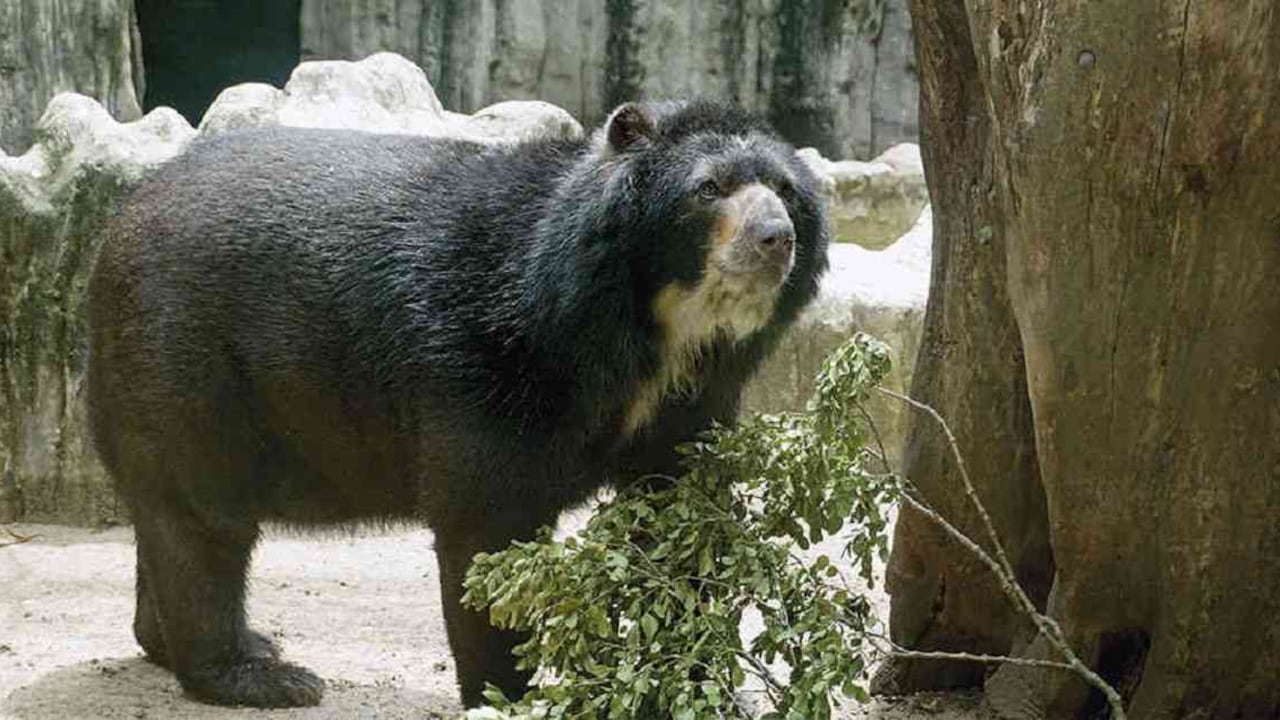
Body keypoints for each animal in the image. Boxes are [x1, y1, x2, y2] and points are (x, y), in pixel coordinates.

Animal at [85, 99, 829, 709]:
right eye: (709, 189)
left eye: (786, 191)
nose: (774, 237)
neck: (647, 333)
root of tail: (118, 220)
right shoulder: (487, 362)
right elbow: (487, 525)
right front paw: (508, 693)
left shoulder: (691, 401)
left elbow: (682, 518)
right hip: (187, 362)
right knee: (203, 518)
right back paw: (262, 675)